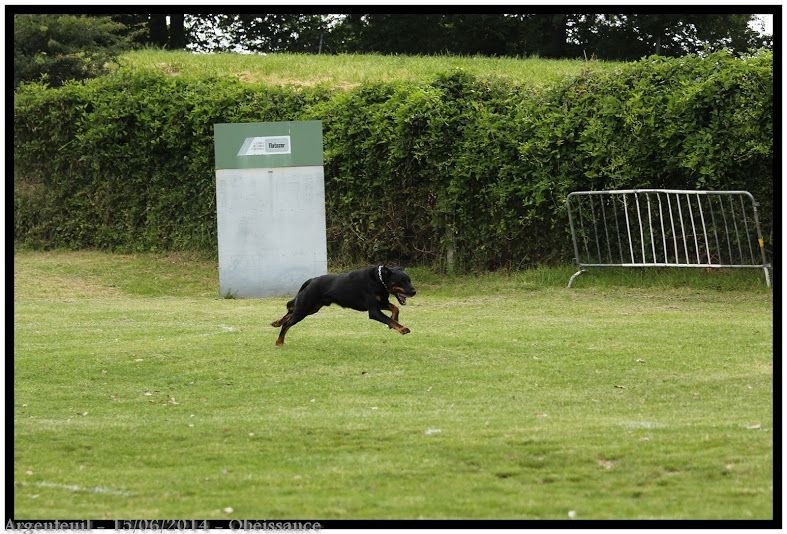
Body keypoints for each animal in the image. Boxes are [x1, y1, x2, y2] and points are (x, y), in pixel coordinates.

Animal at [272, 264, 416, 348]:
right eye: (401, 281)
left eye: (409, 280)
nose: (414, 291)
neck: (379, 280)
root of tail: (311, 280)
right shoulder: (374, 311)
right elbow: (389, 318)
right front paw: (402, 328)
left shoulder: (382, 303)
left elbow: (395, 309)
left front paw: (395, 320)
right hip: (305, 308)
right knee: (288, 323)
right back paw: (279, 342)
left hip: (312, 308)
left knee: (290, 312)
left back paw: (276, 322)